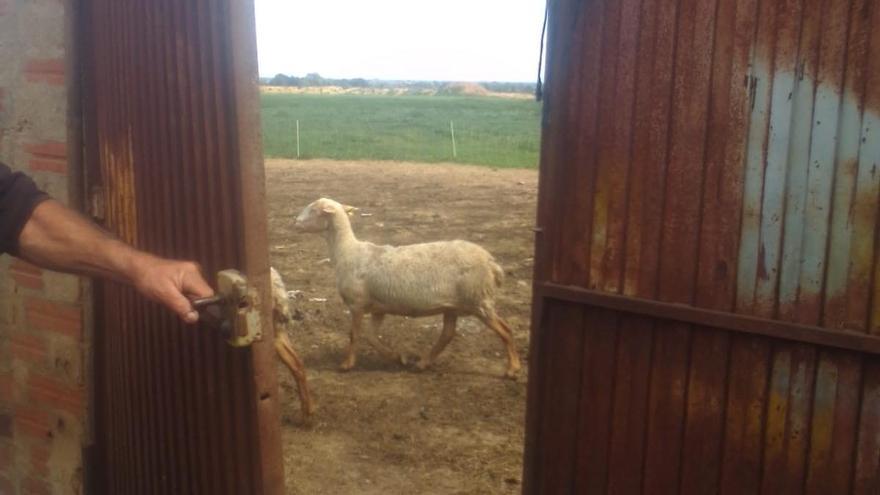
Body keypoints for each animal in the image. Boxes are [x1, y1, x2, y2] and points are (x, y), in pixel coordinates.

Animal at [296, 198, 520, 380]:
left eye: (313, 209)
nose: (295, 222)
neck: (346, 252)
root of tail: (492, 263)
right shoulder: (378, 308)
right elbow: (371, 336)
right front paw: (397, 357)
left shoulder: (356, 303)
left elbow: (354, 335)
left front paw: (346, 364)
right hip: (454, 305)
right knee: (447, 334)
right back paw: (422, 363)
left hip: (477, 299)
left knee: (505, 330)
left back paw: (512, 369)